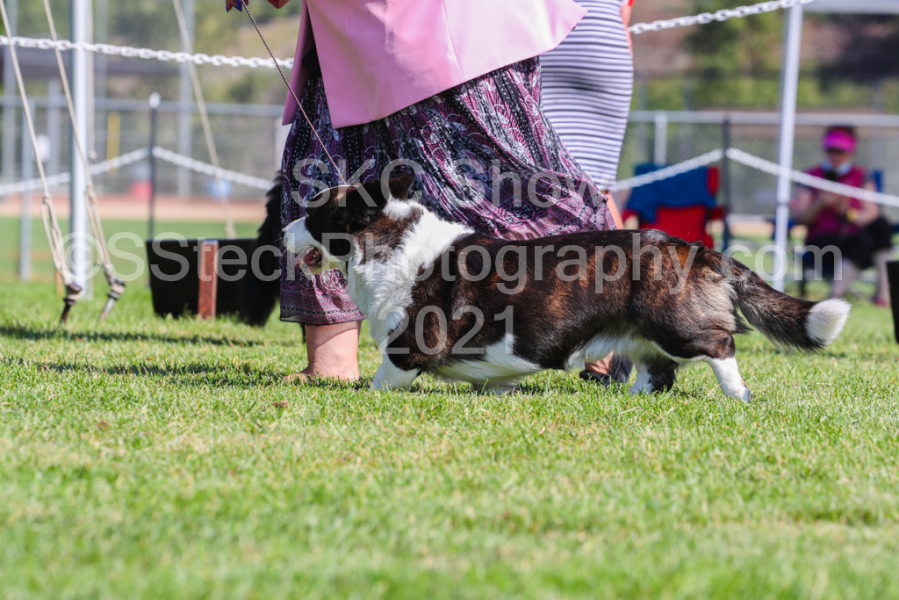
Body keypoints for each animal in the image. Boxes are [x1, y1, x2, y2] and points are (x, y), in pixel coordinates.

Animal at [283, 175, 850, 400]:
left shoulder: (408, 346)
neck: (387, 241)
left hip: (675, 324)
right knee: (658, 374)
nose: (282, 233)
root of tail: (693, 248)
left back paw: (737, 394)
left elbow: (383, 379)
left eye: (314, 214)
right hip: (642, 334)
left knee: (720, 343)